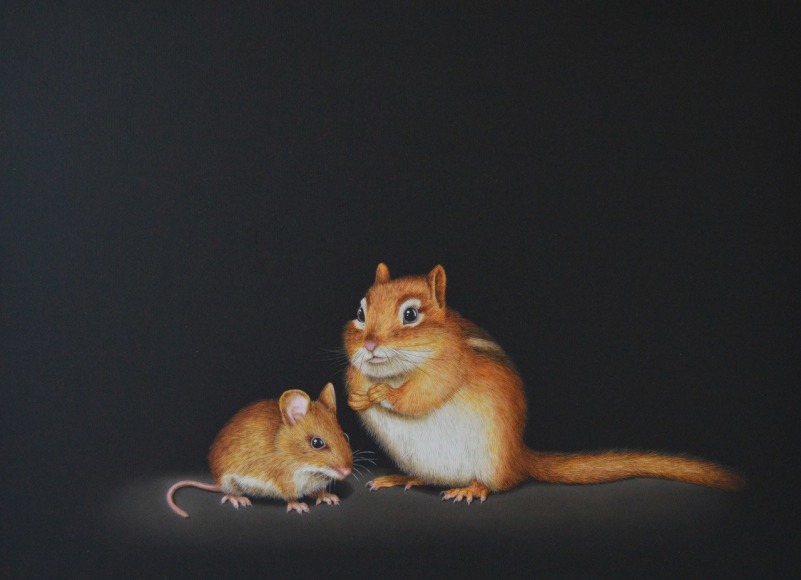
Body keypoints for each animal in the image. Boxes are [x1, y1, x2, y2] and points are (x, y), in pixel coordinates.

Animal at [344, 263, 744, 503]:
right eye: (361, 313)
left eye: (410, 314)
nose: (370, 344)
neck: (394, 368)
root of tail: (519, 457)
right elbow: (355, 376)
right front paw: (356, 395)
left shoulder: (446, 369)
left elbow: (419, 396)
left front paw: (381, 393)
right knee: (427, 477)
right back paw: (401, 479)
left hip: (491, 459)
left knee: (495, 484)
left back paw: (469, 488)